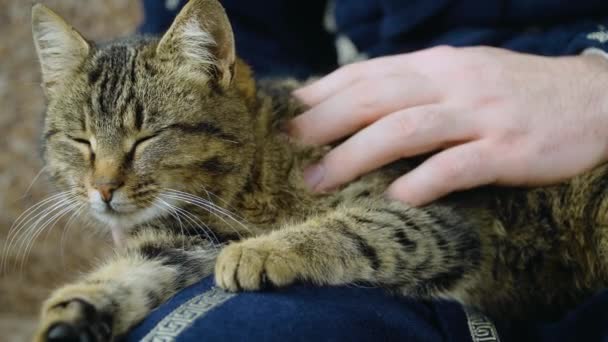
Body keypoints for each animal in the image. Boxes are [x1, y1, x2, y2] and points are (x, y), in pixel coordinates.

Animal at [29, 0, 608, 340]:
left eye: (146, 137)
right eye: (80, 140)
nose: (103, 189)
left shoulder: (433, 217)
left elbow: (356, 227)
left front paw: (265, 251)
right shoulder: (186, 240)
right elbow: (135, 269)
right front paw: (74, 310)